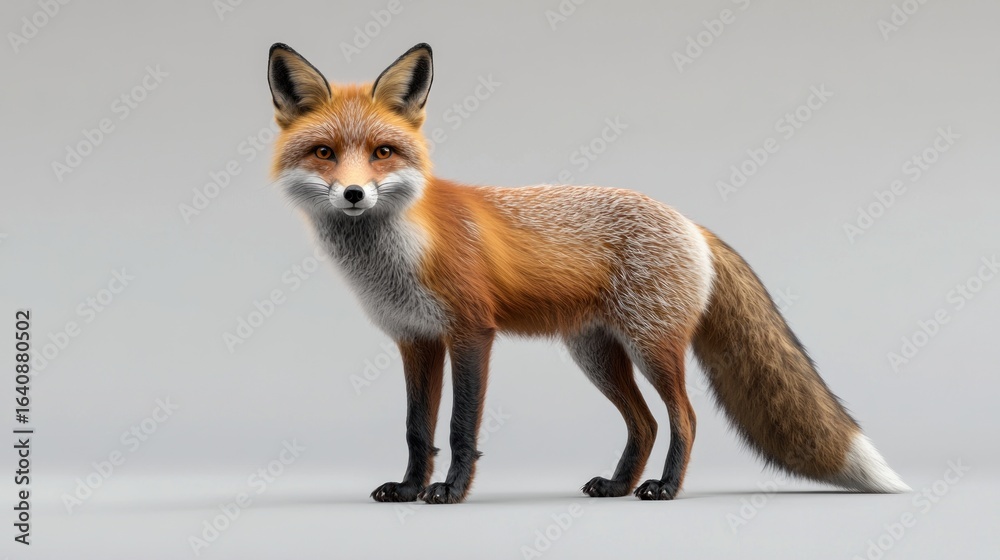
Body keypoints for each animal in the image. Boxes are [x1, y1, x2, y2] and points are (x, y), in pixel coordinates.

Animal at [266, 42, 910, 504]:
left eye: (382, 152)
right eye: (324, 152)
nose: (354, 194)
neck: (401, 250)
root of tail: (692, 223)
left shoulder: (471, 331)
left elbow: (459, 427)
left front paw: (449, 491)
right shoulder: (415, 339)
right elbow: (416, 429)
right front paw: (407, 488)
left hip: (652, 345)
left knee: (684, 418)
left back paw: (664, 488)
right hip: (596, 353)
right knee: (645, 424)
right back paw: (619, 486)